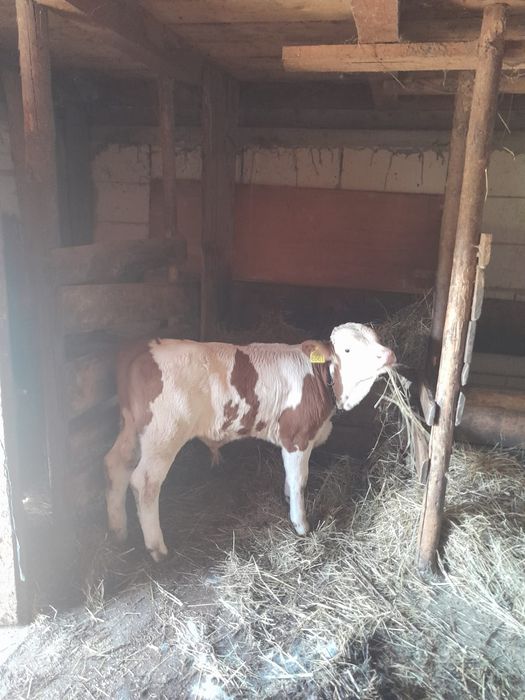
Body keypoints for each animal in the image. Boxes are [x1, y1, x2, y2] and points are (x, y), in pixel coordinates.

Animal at [105, 323, 396, 561]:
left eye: (377, 339)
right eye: (347, 349)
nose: (388, 354)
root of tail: (145, 346)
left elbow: (290, 476)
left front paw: (287, 499)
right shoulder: (297, 436)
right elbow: (299, 479)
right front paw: (300, 524)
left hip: (131, 427)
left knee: (117, 464)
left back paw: (119, 530)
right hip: (164, 434)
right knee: (144, 482)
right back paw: (157, 548)